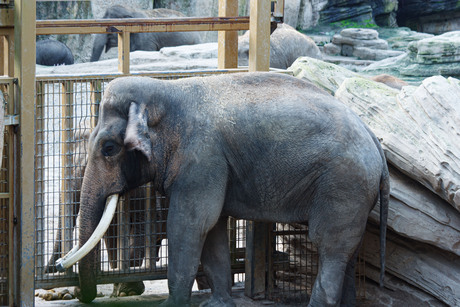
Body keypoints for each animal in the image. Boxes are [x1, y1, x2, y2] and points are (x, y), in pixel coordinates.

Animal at [72, 73, 388, 307]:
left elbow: (189, 224)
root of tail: (374, 139)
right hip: (354, 193)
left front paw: (171, 305)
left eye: (109, 148)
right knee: (346, 252)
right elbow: (212, 229)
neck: (168, 90)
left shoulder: (202, 159)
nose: (82, 295)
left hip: (344, 186)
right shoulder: (209, 167)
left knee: (330, 246)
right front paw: (216, 304)